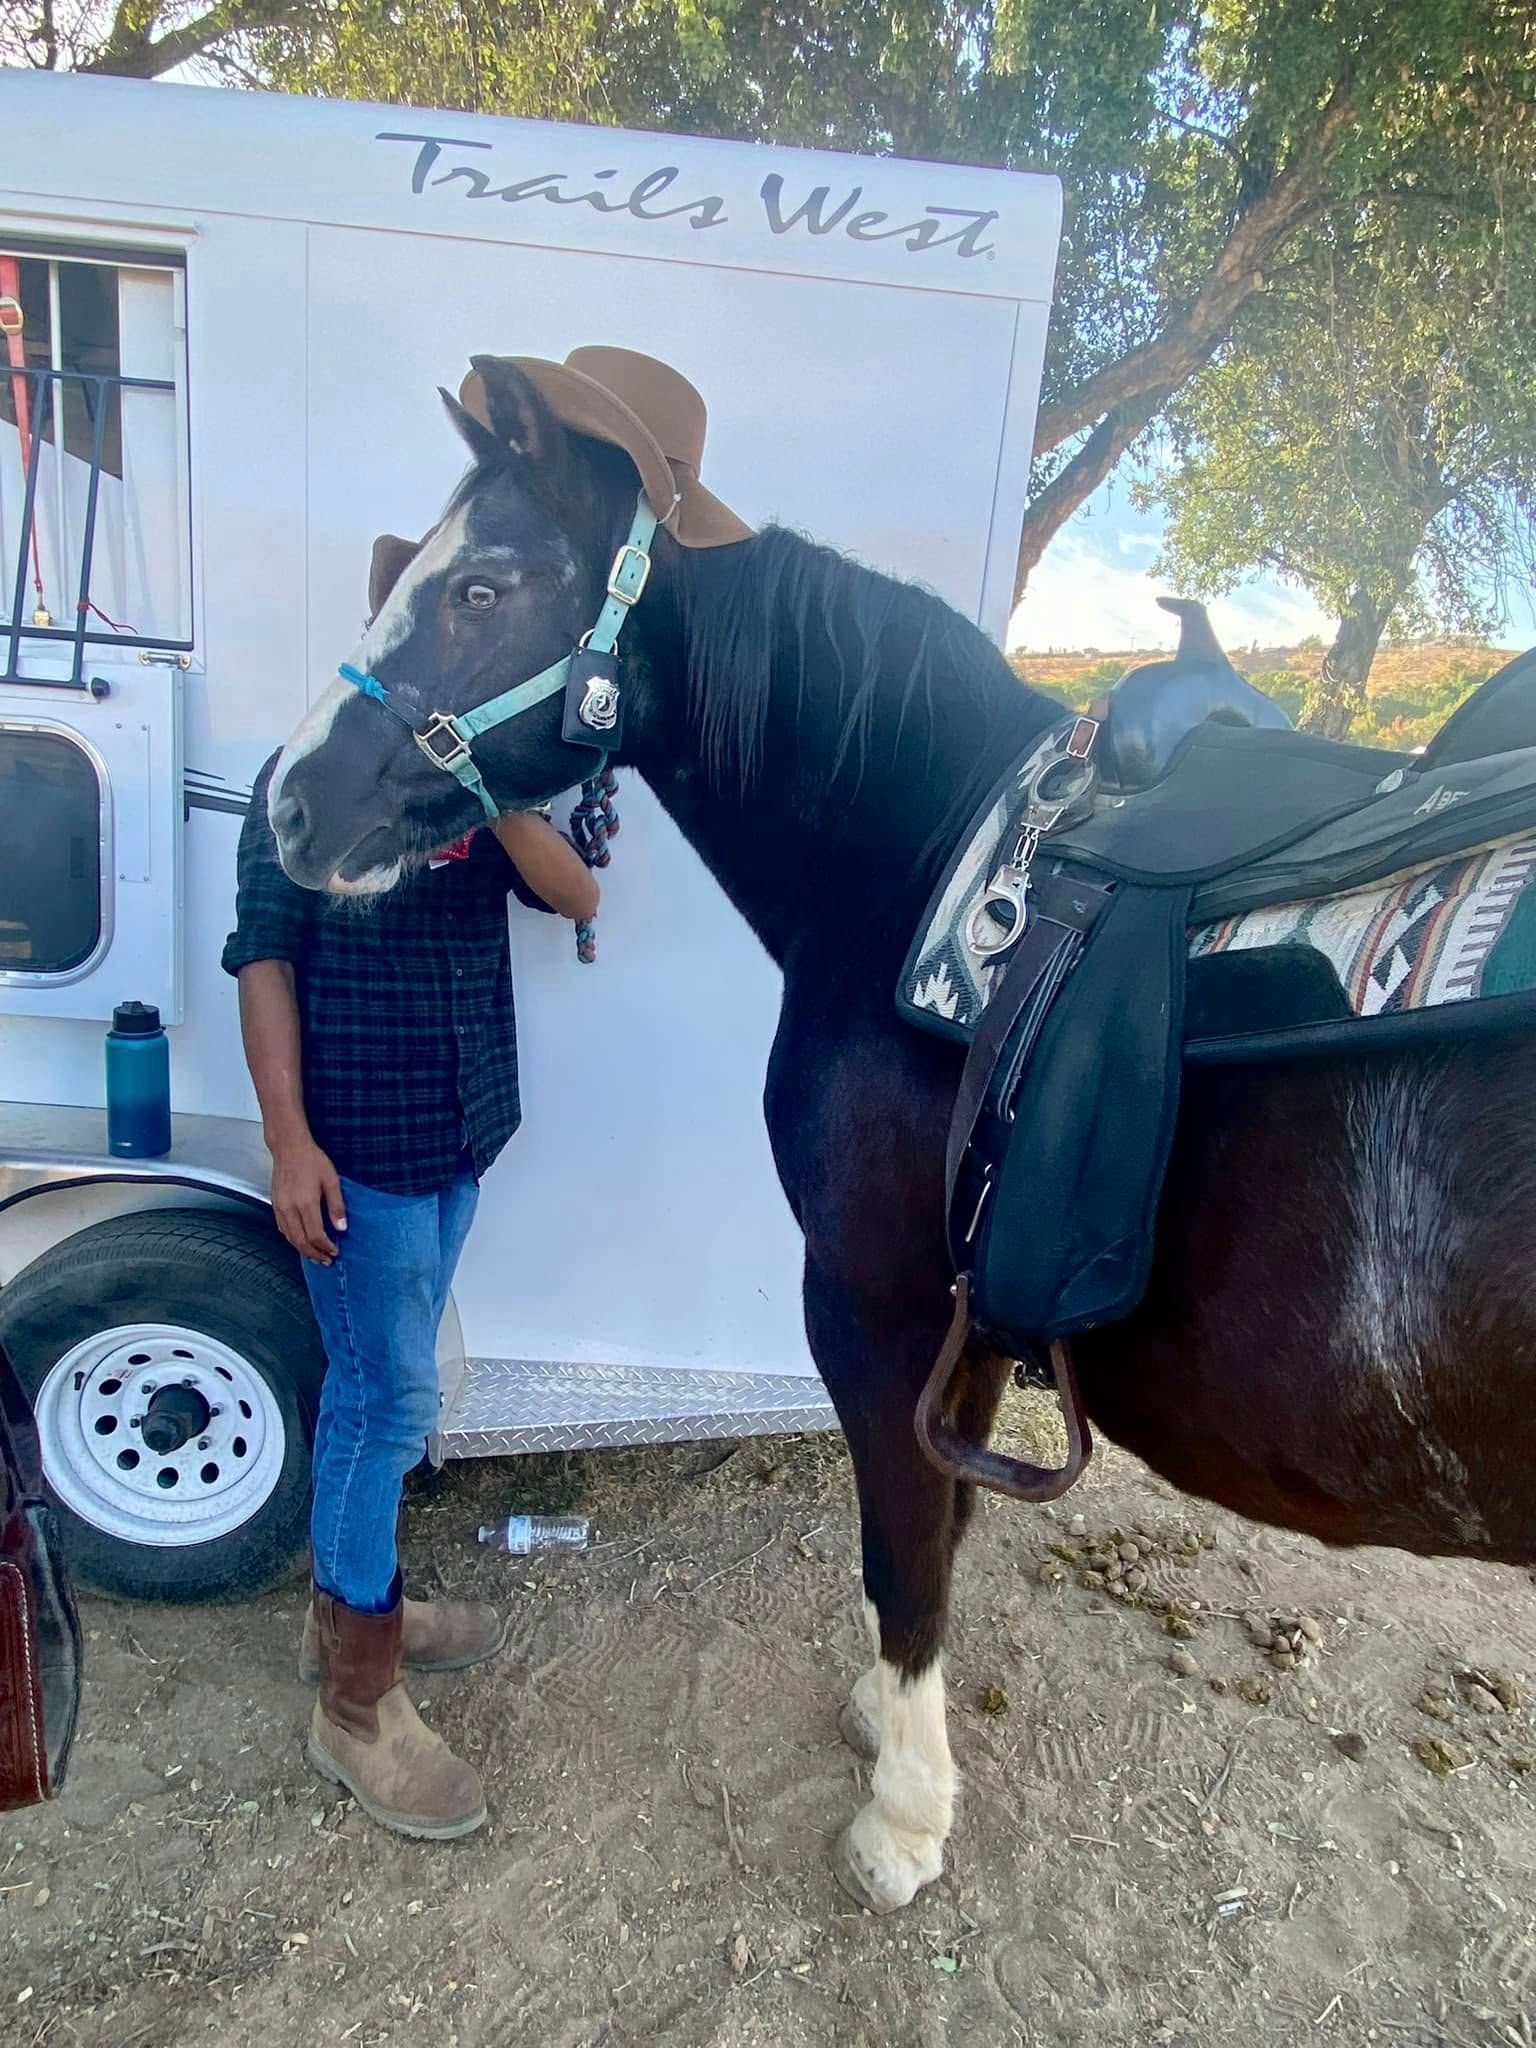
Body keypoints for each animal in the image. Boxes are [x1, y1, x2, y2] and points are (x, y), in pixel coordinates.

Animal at [267, 360, 1536, 1913]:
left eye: (480, 587)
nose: (291, 803)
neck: (925, 856)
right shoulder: (968, 1315)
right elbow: (943, 1531)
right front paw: (894, 1724)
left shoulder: (873, 1307)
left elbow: (903, 1552)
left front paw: (902, 1820)